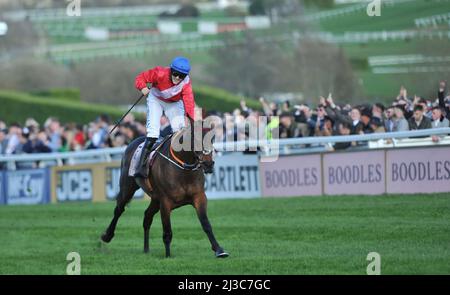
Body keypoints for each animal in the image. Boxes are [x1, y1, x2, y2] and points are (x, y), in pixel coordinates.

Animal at [101, 119, 229, 258]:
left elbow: (206, 223)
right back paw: (107, 236)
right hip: (127, 187)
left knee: (147, 216)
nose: (208, 164)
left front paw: (219, 249)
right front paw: (168, 255)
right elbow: (167, 230)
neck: (183, 169)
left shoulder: (199, 196)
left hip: (155, 199)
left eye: (212, 138)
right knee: (119, 209)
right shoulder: (165, 201)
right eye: (195, 138)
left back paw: (146, 249)